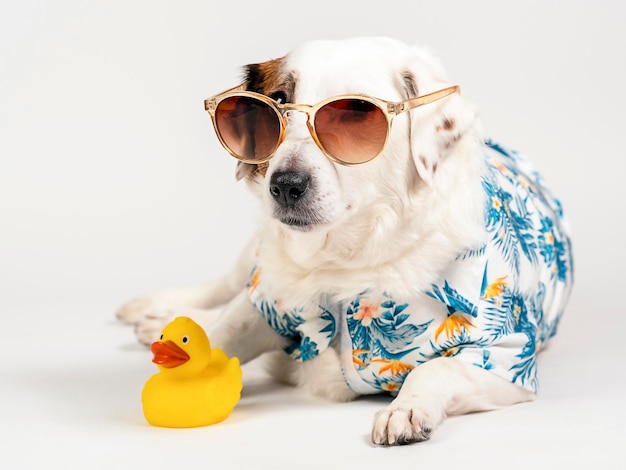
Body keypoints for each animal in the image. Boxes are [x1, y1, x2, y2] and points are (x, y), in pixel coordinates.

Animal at [116, 35, 572, 444]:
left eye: (355, 113)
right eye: (275, 102)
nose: (285, 185)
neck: (343, 260)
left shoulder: (505, 356)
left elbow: (435, 369)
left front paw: (407, 408)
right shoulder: (269, 301)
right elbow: (227, 328)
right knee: (223, 288)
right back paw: (154, 313)